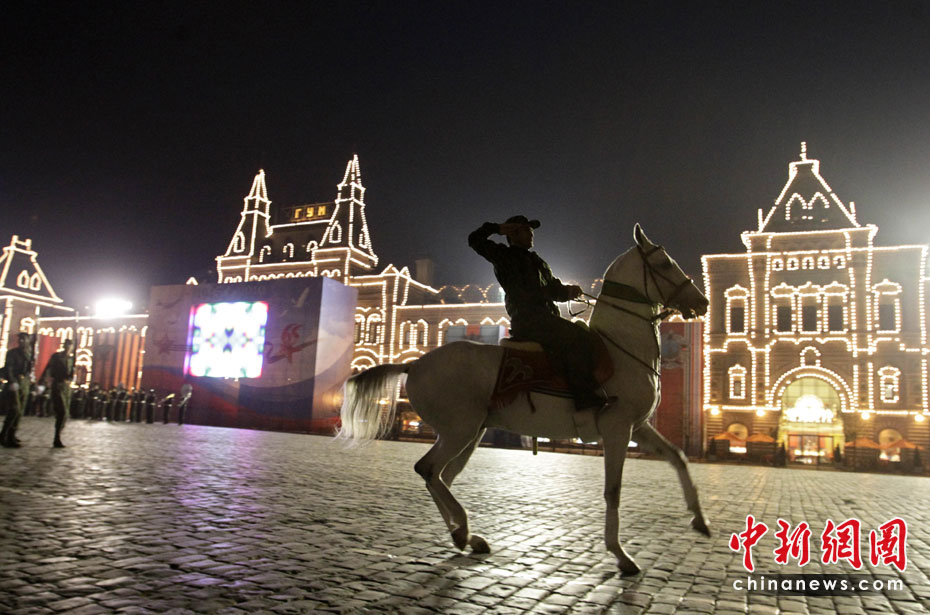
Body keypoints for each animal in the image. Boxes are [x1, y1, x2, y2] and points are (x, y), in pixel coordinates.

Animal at [338, 224, 710, 575]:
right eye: (664, 263)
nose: (702, 302)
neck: (619, 349)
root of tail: (413, 364)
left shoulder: (638, 426)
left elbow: (678, 457)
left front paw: (700, 520)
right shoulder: (617, 427)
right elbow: (613, 490)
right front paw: (620, 555)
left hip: (469, 433)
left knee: (440, 477)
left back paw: (464, 535)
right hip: (460, 431)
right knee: (429, 470)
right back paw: (464, 530)